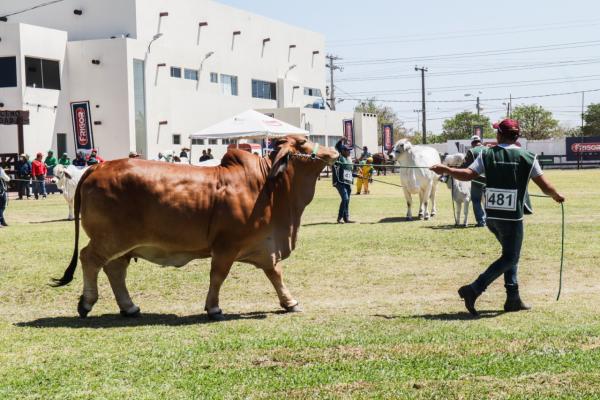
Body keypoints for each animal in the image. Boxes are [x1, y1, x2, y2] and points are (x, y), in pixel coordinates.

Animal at [52, 136, 338, 320]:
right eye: (303, 142)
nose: (335, 151)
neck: (268, 187)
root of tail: (97, 167)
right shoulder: (226, 246)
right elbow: (218, 275)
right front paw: (213, 308)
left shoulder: (266, 245)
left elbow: (275, 274)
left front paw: (290, 302)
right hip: (110, 239)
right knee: (90, 259)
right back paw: (86, 303)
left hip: (123, 244)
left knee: (114, 270)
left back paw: (129, 307)